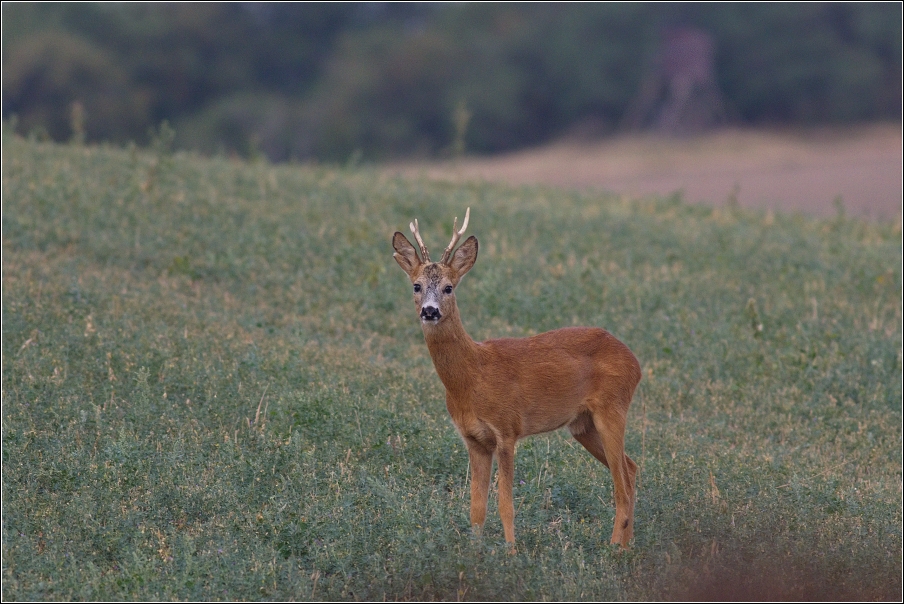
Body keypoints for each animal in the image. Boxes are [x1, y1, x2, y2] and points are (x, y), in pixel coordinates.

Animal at [392, 210, 640, 548]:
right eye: (416, 286)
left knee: (622, 483)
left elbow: (505, 504)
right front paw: (475, 552)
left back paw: (614, 549)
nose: (430, 311)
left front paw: (511, 552)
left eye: (448, 287)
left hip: (612, 408)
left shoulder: (506, 428)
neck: (472, 377)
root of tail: (635, 362)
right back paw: (627, 546)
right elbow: (477, 508)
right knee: (632, 468)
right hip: (583, 424)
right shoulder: (474, 439)